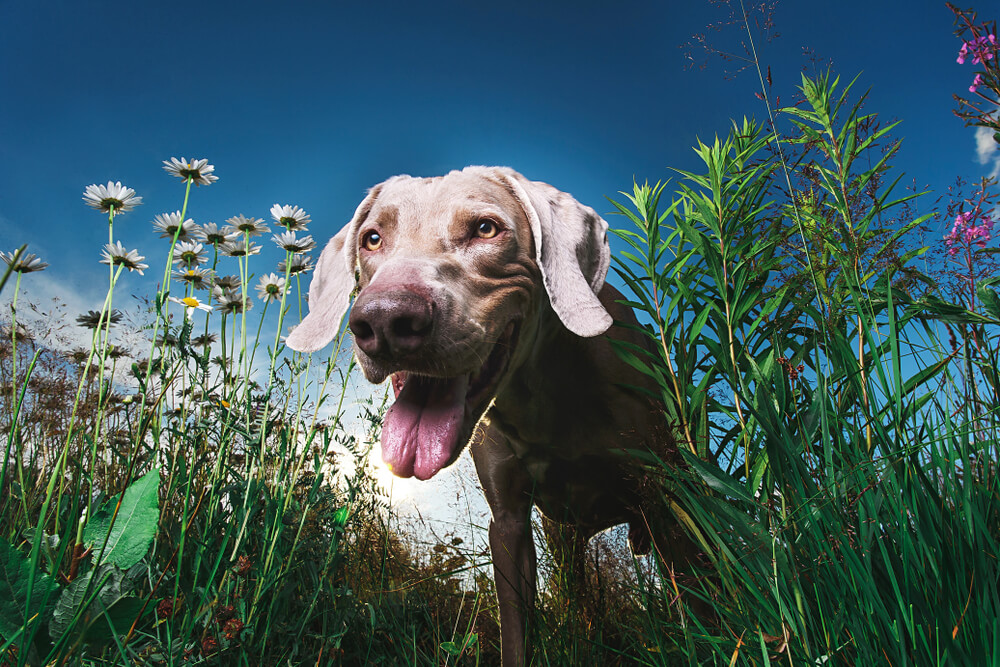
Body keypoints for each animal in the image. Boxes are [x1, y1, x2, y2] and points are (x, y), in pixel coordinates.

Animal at [286, 167, 700, 667]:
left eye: (486, 228)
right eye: (372, 238)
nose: (384, 321)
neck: (544, 400)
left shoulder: (660, 498)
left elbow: (702, 604)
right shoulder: (508, 523)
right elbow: (516, 631)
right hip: (565, 540)